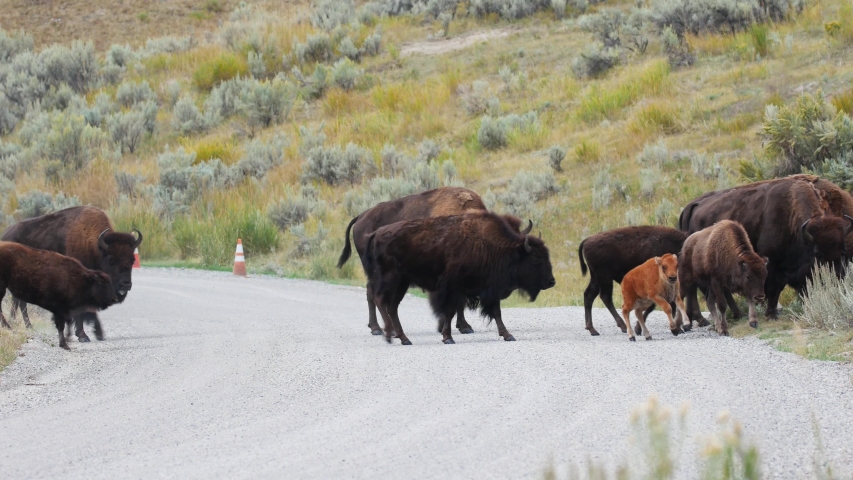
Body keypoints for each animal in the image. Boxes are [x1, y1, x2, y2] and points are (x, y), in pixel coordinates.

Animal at [0, 206, 142, 342]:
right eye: (111, 259)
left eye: (132, 260)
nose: (125, 285)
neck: (93, 246)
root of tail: (5, 235)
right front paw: (84, 335)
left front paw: (93, 333)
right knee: (19, 301)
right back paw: (20, 324)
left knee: (18, 301)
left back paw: (23, 325)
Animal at [362, 212, 556, 344]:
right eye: (536, 259)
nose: (551, 281)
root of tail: (377, 233)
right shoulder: (452, 288)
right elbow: (450, 311)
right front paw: (447, 337)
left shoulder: (488, 290)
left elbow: (496, 312)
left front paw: (508, 335)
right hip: (390, 279)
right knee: (379, 299)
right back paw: (387, 334)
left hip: (402, 283)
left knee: (392, 307)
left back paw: (404, 339)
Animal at [680, 175, 852, 318]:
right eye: (818, 254)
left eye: (843, 251)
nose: (837, 278)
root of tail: (695, 204)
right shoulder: (771, 264)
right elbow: (773, 288)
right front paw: (771, 313)